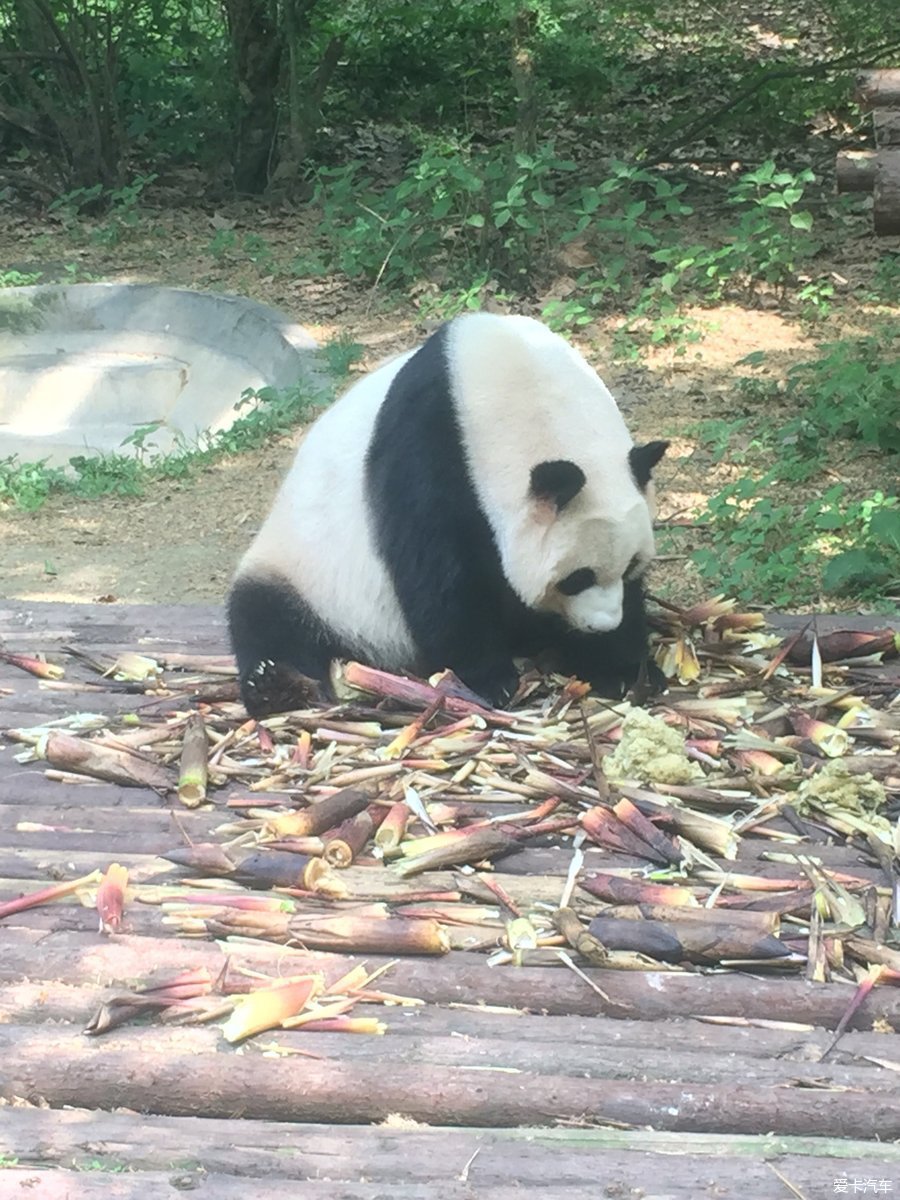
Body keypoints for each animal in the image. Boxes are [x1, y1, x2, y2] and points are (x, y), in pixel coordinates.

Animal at [230, 314, 672, 715]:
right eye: (577, 578)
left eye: (630, 565)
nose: (602, 624)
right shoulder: (427, 449)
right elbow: (439, 577)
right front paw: (490, 680)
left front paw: (621, 667)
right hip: (306, 570)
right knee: (267, 618)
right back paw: (277, 685)